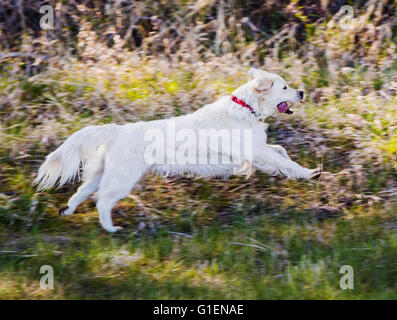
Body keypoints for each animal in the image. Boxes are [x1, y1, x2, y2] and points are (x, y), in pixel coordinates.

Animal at [34, 68, 318, 232]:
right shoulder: (256, 152)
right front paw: (309, 173)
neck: (246, 108)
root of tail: (117, 130)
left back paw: (67, 210)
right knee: (102, 202)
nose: (303, 92)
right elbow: (285, 160)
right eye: (284, 87)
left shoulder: (258, 150)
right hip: (122, 178)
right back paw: (112, 229)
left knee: (81, 192)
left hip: (104, 173)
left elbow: (280, 151)